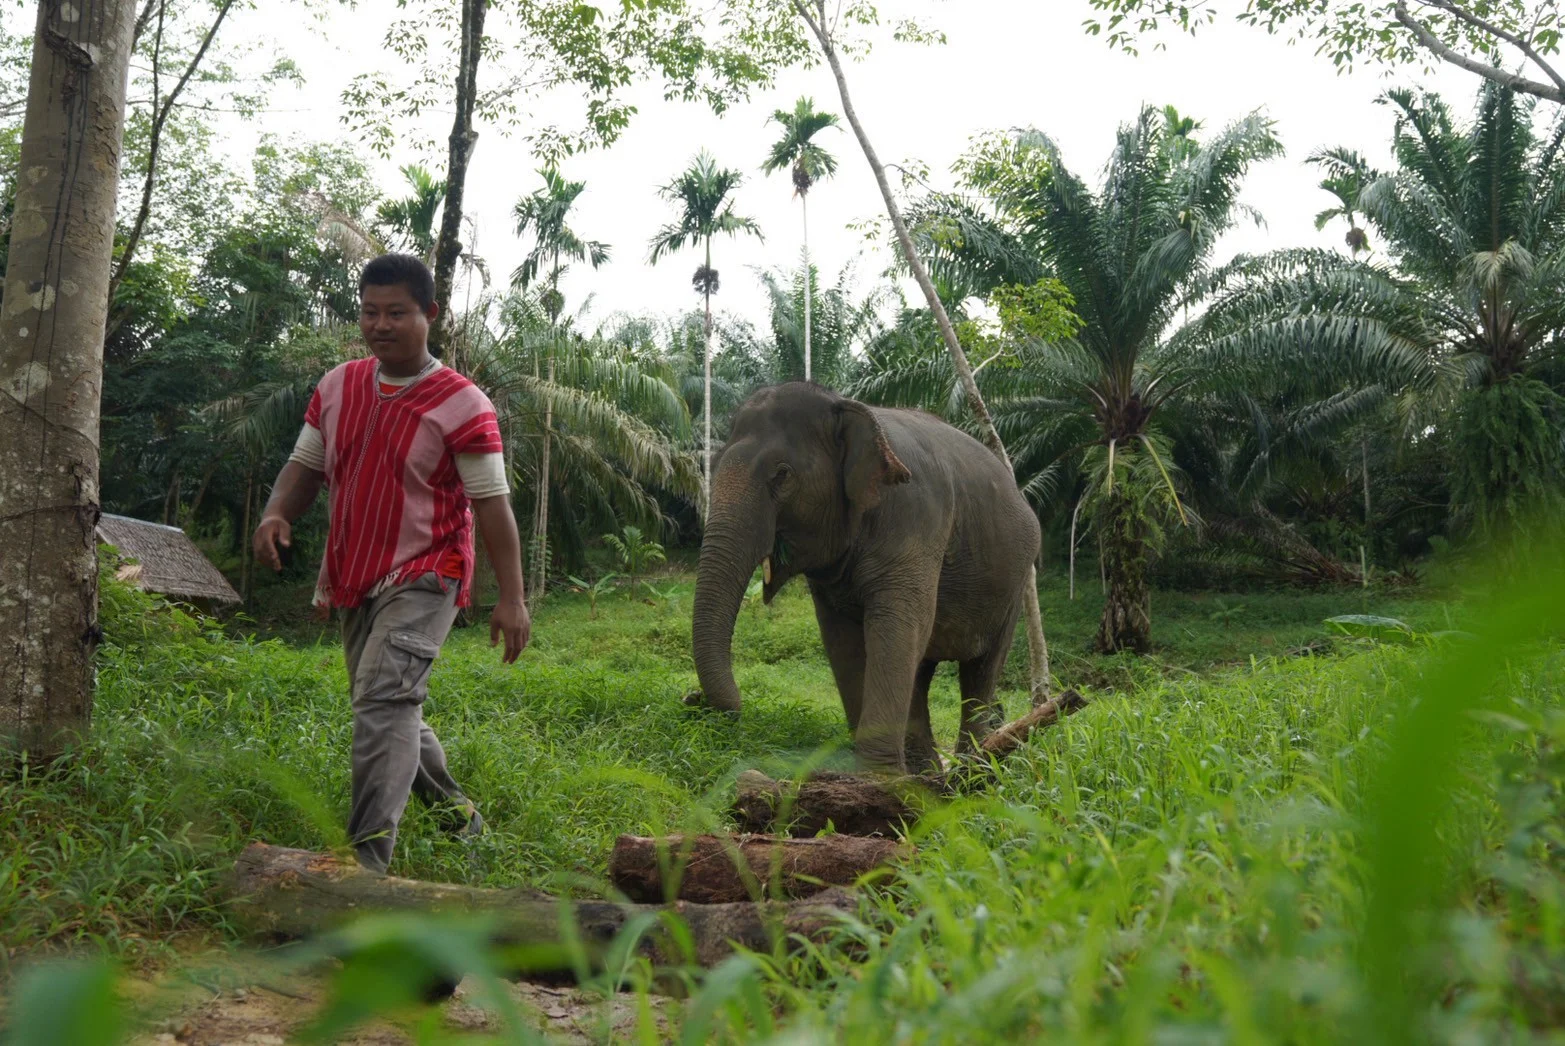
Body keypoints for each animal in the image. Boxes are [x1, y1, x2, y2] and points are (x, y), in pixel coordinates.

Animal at [691, 382, 1042, 774]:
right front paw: (878, 775)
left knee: (980, 670)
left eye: (782, 474)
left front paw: (879, 777)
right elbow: (842, 639)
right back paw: (927, 771)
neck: (847, 407)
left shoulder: (916, 516)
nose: (697, 700)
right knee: (921, 669)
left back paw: (972, 769)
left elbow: (898, 625)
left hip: (1015, 582)